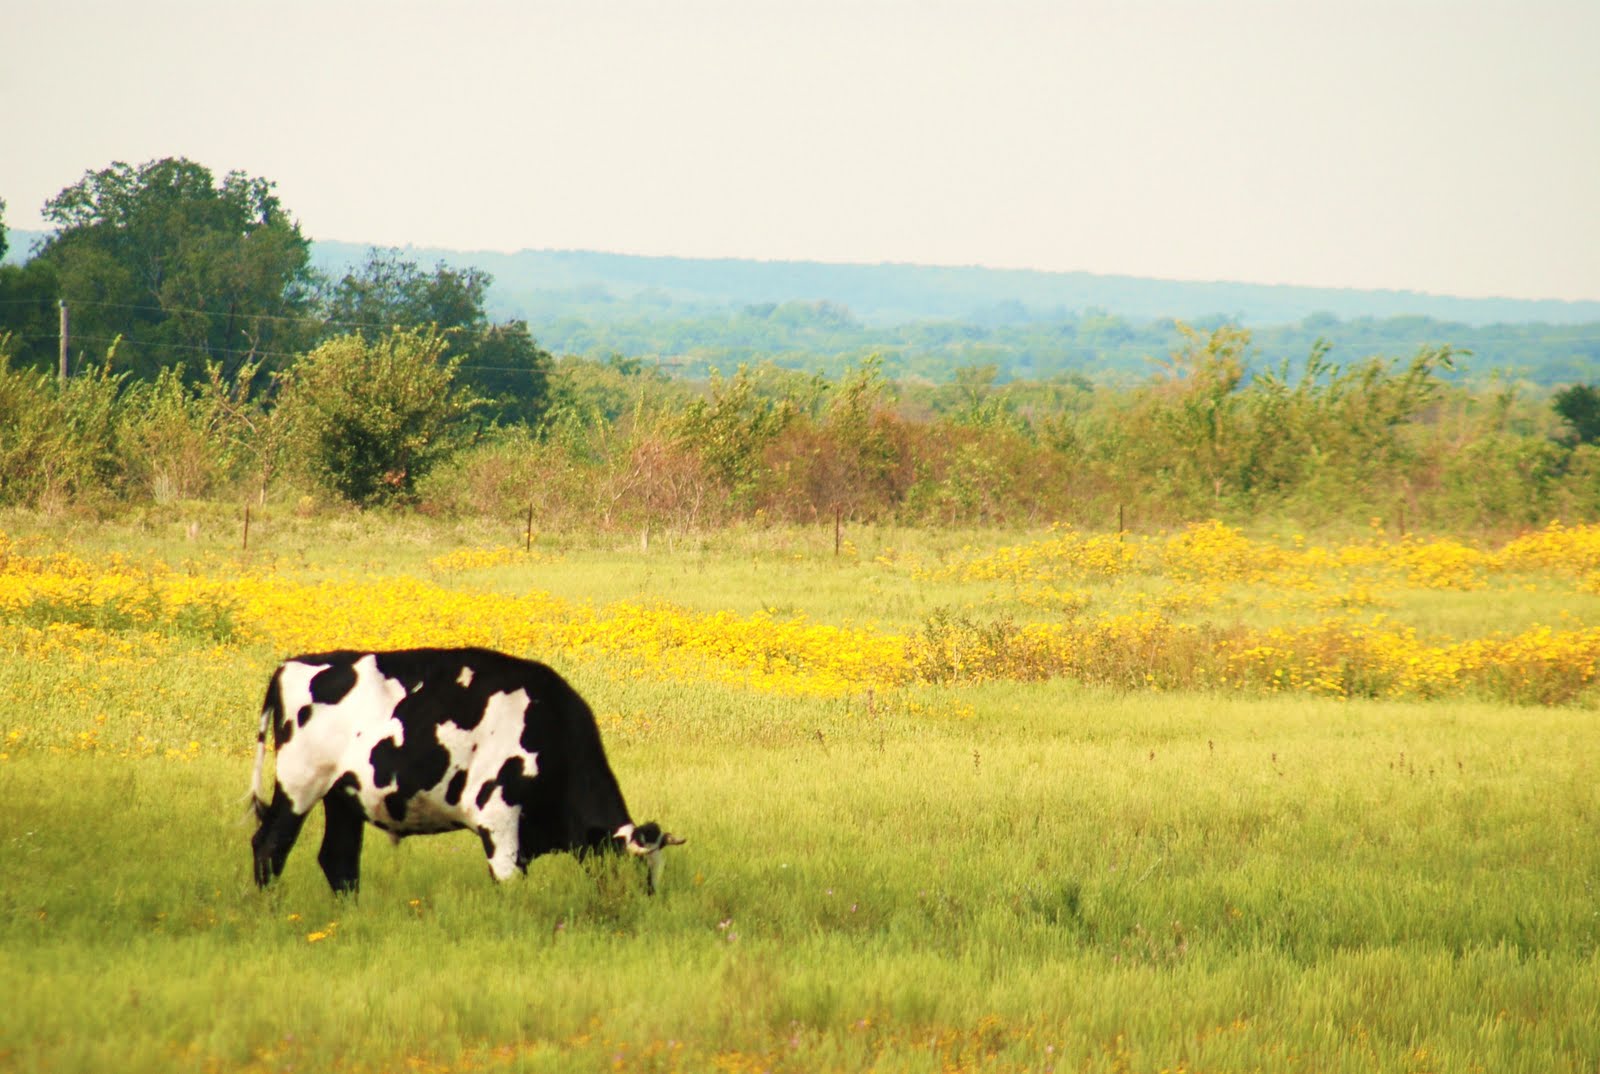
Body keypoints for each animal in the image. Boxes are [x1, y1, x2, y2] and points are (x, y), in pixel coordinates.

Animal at [249, 647, 683, 895]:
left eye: (657, 874)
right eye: (635, 869)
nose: (639, 908)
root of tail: (290, 665)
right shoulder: (498, 817)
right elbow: (509, 884)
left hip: (343, 797)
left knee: (338, 861)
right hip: (300, 784)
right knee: (270, 845)